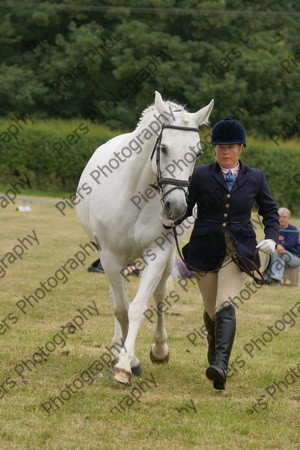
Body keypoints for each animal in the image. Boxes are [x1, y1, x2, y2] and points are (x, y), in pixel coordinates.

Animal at [77, 92, 213, 386]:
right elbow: (121, 309)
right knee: (117, 300)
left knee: (160, 294)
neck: (135, 195)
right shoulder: (109, 256)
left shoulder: (158, 253)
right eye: (164, 148)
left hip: (169, 258)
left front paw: (126, 365)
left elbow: (138, 307)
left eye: (197, 152)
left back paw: (159, 350)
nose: (177, 206)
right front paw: (125, 360)